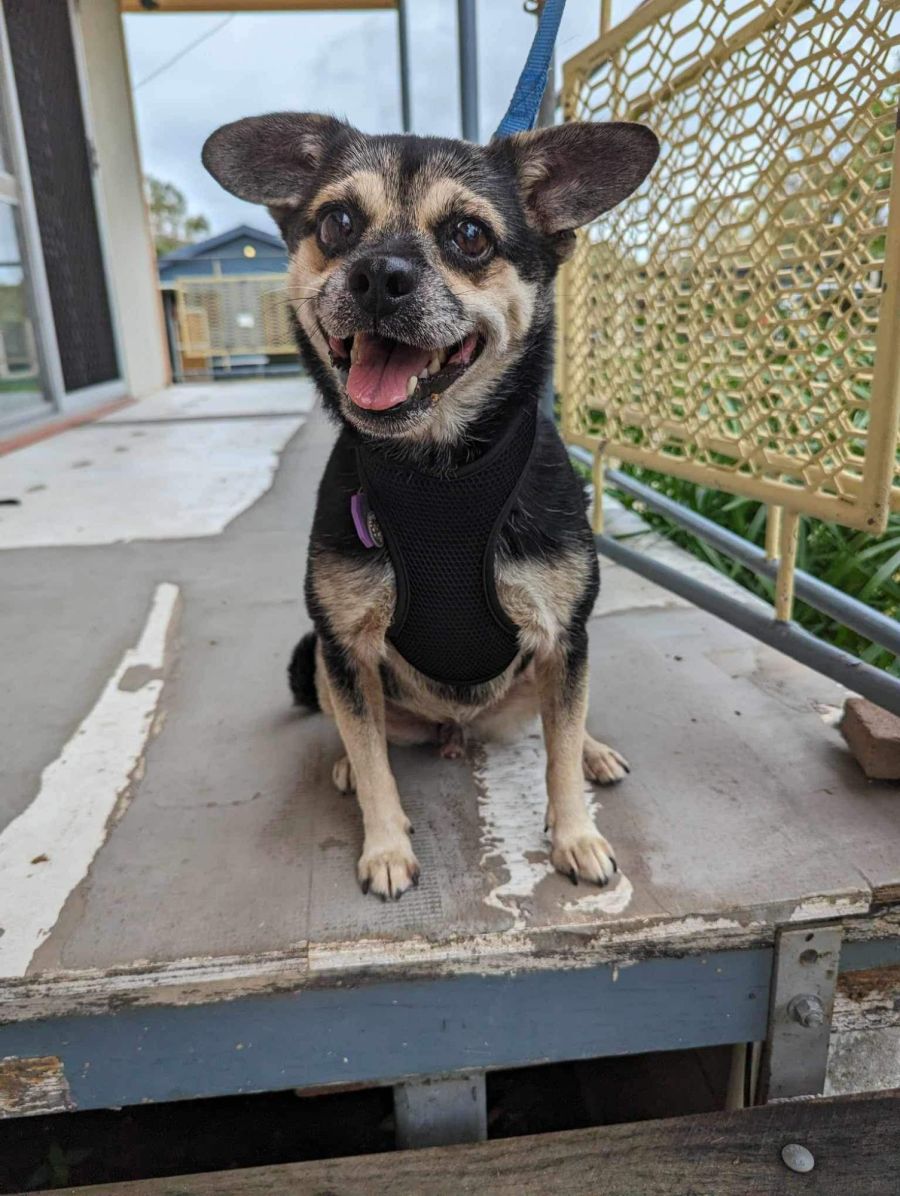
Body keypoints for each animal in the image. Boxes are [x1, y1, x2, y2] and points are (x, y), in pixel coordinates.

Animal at [202, 112, 658, 900]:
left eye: (469, 235)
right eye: (337, 223)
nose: (378, 277)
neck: (439, 469)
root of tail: (458, 731)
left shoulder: (565, 637)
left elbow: (559, 752)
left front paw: (576, 836)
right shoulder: (343, 646)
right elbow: (374, 759)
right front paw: (385, 846)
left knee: (558, 726)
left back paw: (595, 750)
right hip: (322, 661)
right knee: (362, 730)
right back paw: (348, 763)